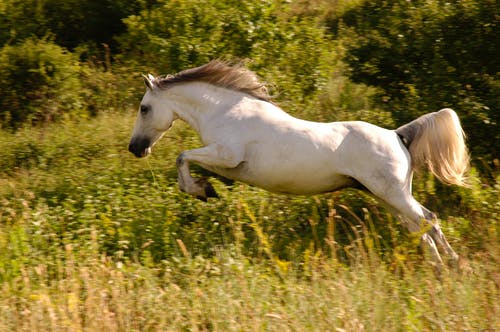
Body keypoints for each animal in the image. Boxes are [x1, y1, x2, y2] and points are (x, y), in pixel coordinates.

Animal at [128, 60, 468, 268]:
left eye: (144, 108)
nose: (135, 148)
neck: (225, 112)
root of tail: (397, 135)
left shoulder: (226, 155)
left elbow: (183, 156)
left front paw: (200, 190)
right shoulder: (224, 162)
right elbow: (190, 161)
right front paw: (206, 188)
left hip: (393, 194)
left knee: (429, 219)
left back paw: (454, 265)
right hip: (386, 197)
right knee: (419, 227)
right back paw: (436, 267)